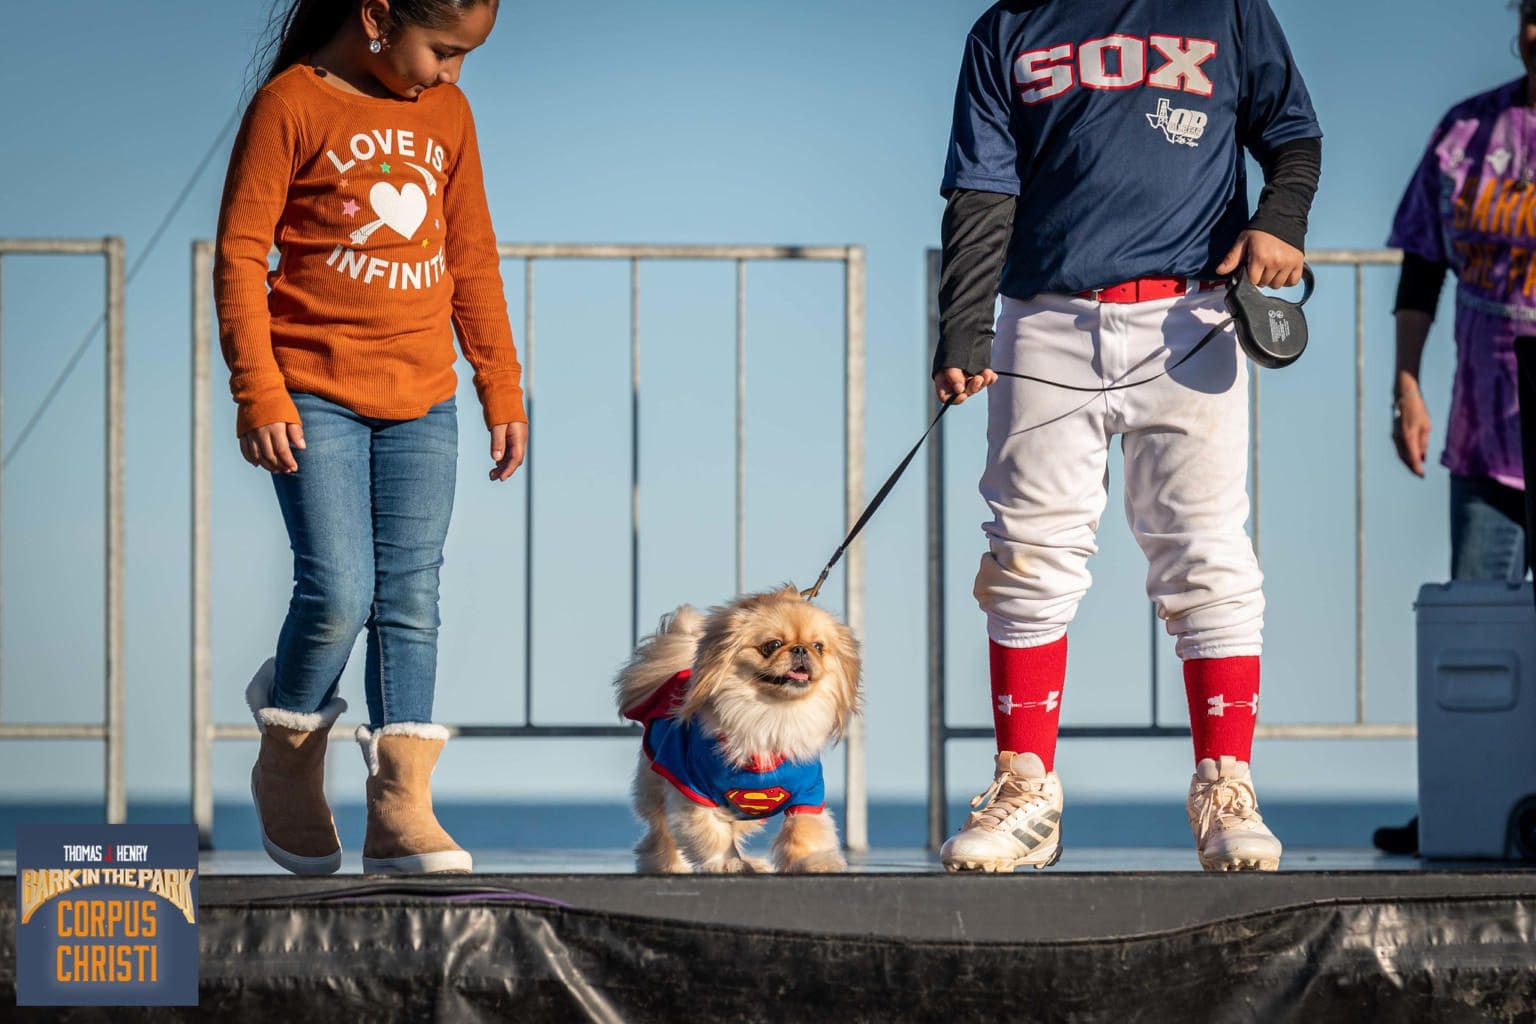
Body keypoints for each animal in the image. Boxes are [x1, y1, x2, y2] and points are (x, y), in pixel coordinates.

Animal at [620, 583, 866, 872]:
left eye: (818, 646)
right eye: (773, 645)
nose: (800, 649)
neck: (775, 715)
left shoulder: (809, 793)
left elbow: (806, 830)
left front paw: (815, 862)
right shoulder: (692, 790)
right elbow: (712, 832)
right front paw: (729, 863)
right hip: (658, 784)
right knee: (661, 833)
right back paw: (668, 865)